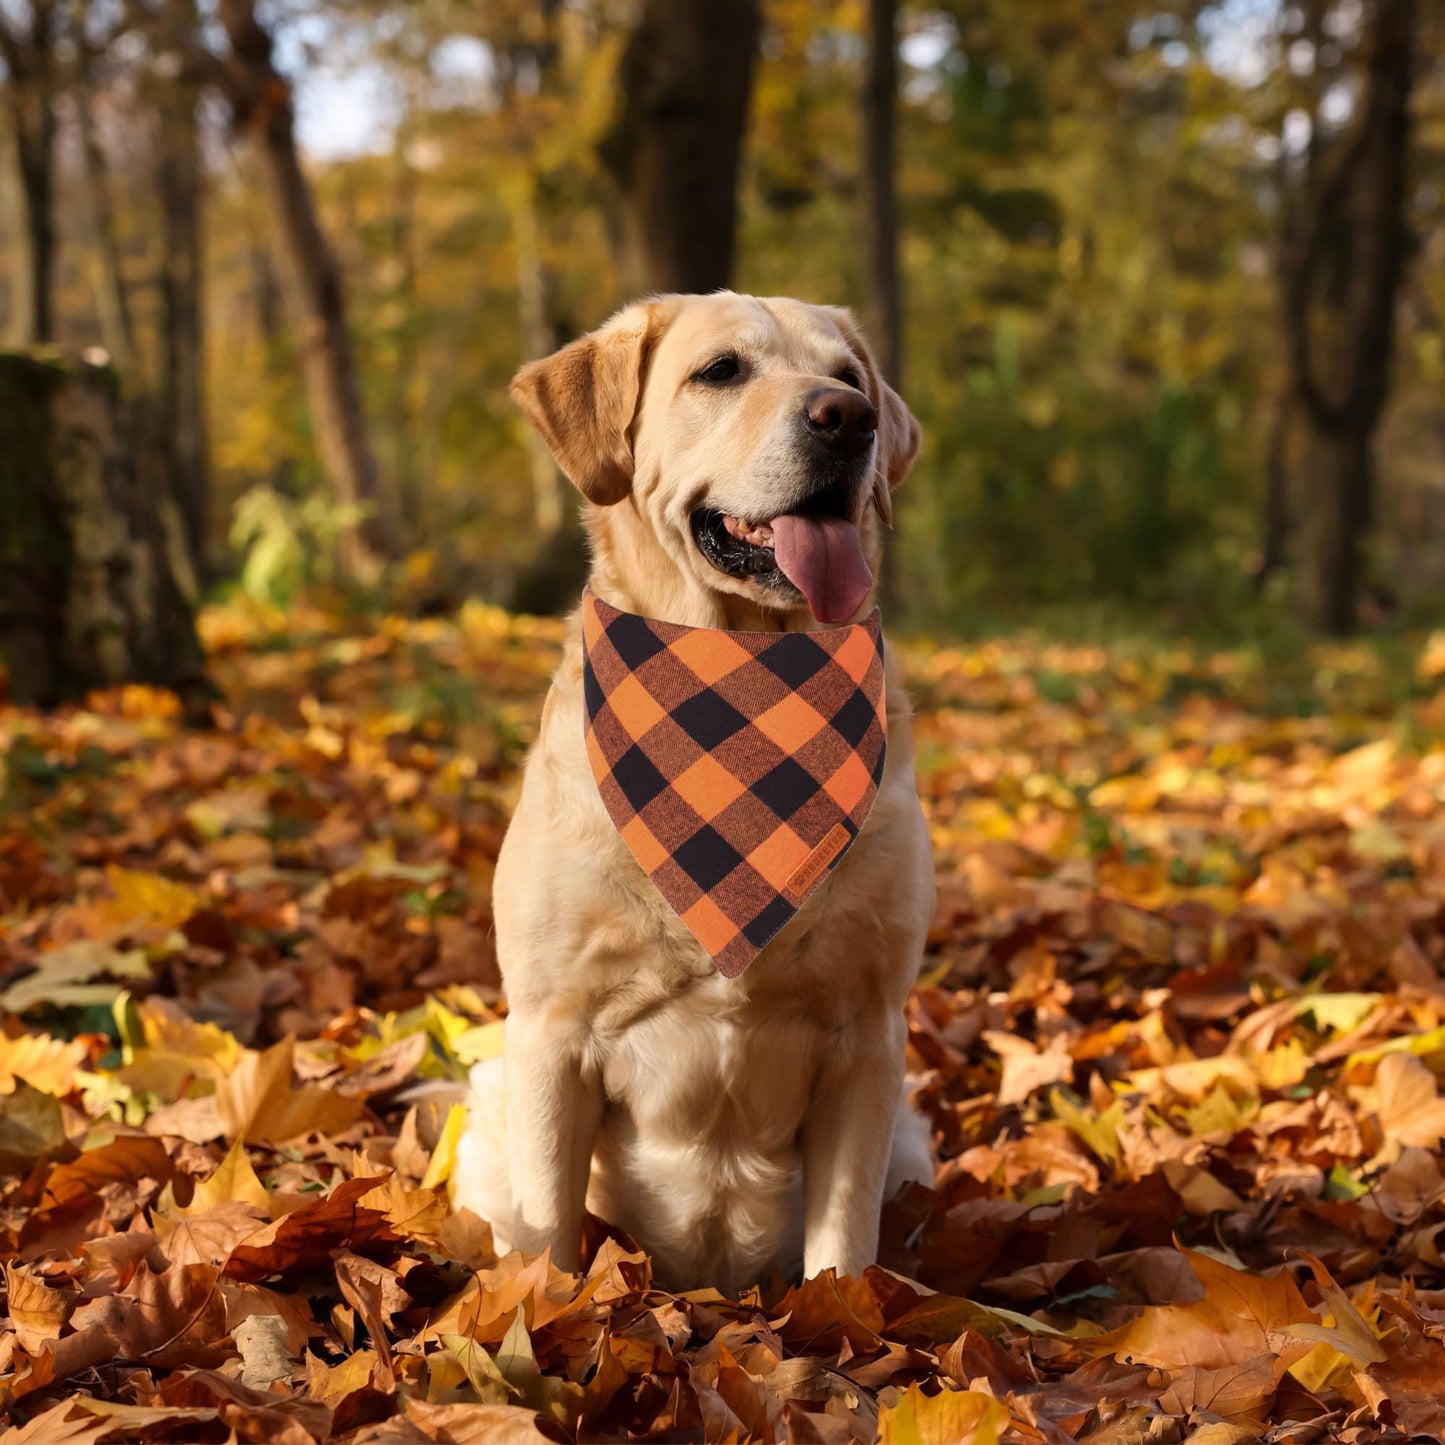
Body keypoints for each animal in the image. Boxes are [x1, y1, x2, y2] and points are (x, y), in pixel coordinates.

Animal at [450, 287, 936, 1294]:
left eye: (848, 375)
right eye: (720, 371)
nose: (848, 418)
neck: (740, 677)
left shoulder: (869, 1036)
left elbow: (842, 1243)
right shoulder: (551, 1031)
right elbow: (551, 1237)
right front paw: (541, 1319)